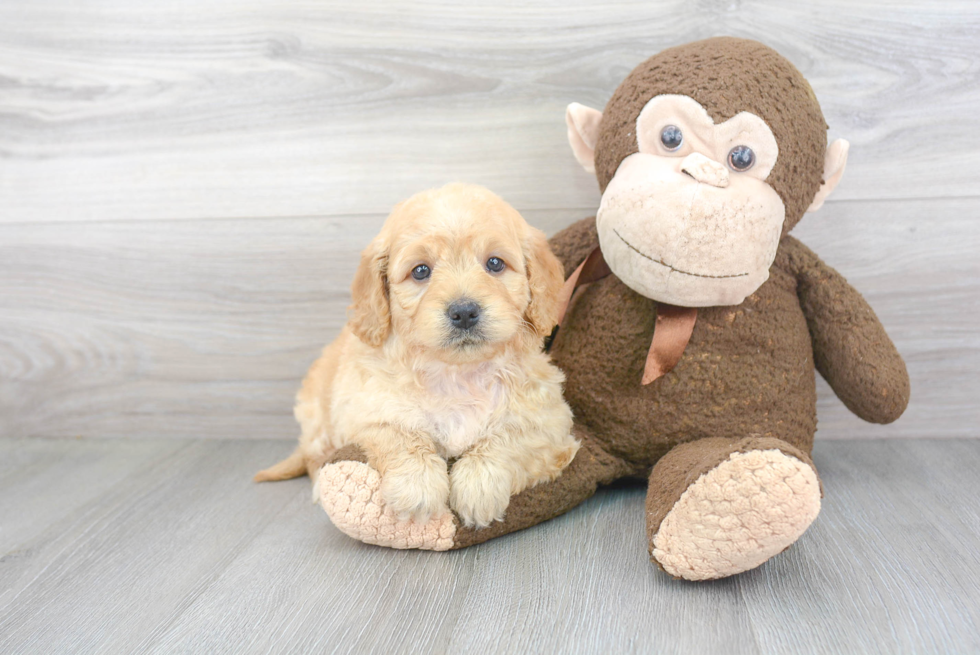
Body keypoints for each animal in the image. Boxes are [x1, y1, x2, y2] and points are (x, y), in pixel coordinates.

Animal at [256, 183, 580, 528]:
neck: (457, 372)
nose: (464, 312)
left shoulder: (548, 420)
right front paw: (418, 487)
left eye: (495, 264)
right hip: (317, 415)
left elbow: (509, 439)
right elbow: (399, 434)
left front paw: (479, 487)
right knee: (314, 458)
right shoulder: (365, 409)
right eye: (421, 271)